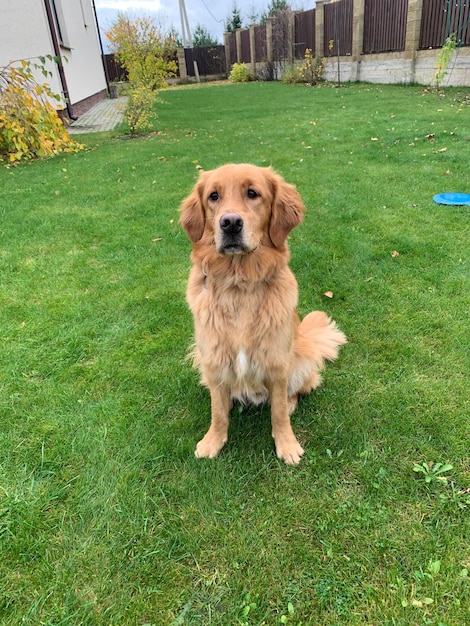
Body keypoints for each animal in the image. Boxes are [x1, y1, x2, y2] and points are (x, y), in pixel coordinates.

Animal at [179, 162, 346, 464]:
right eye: (213, 196)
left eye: (252, 193)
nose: (230, 223)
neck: (239, 283)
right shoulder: (214, 360)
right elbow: (217, 412)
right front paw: (213, 441)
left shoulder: (277, 363)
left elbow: (278, 412)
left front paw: (287, 444)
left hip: (301, 360)